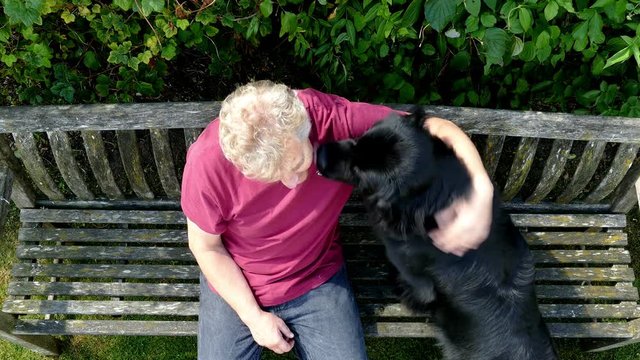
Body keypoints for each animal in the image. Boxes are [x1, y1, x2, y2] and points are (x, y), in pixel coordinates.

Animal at [318, 111, 556, 358]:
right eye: (358, 139)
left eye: (358, 172)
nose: (319, 153)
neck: (433, 197)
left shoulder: (415, 276)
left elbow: (417, 291)